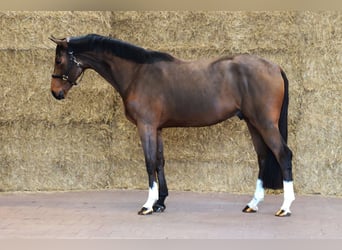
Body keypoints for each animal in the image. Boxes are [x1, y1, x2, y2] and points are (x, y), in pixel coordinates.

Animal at [49, 33, 296, 217]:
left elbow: (149, 163)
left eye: (59, 61)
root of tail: (274, 66)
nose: (55, 92)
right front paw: (160, 203)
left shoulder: (146, 126)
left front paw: (148, 205)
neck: (137, 74)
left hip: (265, 123)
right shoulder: (157, 128)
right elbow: (160, 162)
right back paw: (252, 204)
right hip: (253, 123)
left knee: (283, 154)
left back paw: (285, 207)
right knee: (263, 157)